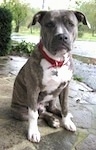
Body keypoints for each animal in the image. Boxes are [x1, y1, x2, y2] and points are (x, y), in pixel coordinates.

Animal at [10, 9, 89, 143]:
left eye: (70, 23)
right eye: (49, 24)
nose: (62, 36)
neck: (56, 61)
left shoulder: (66, 87)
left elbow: (65, 106)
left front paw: (67, 122)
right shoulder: (33, 89)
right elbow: (33, 115)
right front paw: (33, 132)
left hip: (54, 95)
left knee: (51, 109)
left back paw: (59, 116)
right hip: (20, 111)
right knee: (39, 114)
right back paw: (52, 120)